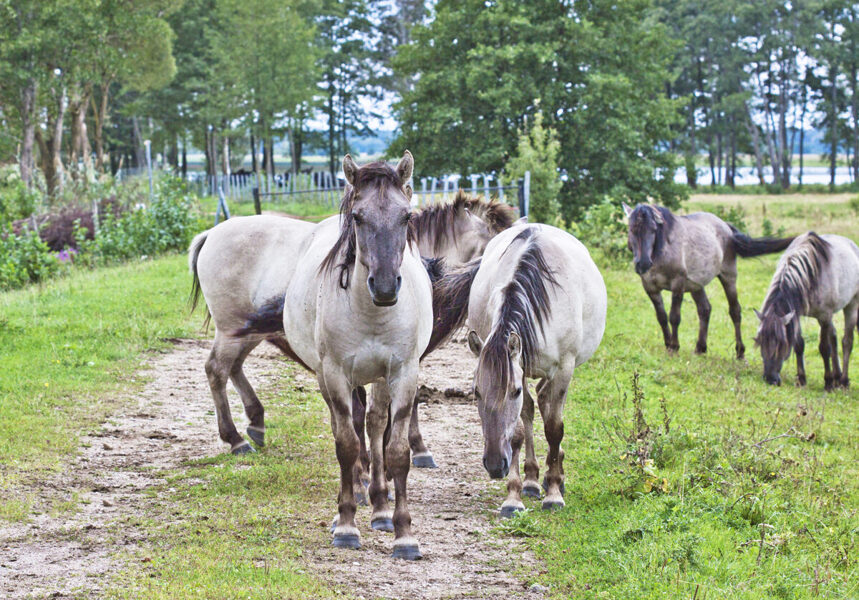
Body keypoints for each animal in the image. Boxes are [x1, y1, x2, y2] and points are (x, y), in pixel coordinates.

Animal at [440, 225, 608, 516]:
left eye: (514, 391)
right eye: (476, 393)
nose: (495, 464)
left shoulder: (562, 369)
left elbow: (554, 428)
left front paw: (554, 492)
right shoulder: (521, 366)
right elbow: (519, 429)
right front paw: (514, 495)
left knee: (548, 406)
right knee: (534, 406)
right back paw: (532, 480)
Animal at [620, 204, 796, 358]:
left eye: (653, 230)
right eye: (632, 229)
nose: (643, 264)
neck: (661, 253)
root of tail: (726, 227)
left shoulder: (677, 285)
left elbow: (674, 317)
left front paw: (675, 347)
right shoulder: (650, 288)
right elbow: (661, 317)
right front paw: (668, 345)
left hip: (728, 277)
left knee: (735, 311)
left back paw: (740, 352)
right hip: (696, 284)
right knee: (705, 309)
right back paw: (700, 348)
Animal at [752, 230, 859, 390]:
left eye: (782, 344)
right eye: (760, 341)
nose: (770, 379)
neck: (810, 274)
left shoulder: (824, 316)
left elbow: (824, 348)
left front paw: (828, 382)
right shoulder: (797, 313)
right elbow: (799, 345)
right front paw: (801, 379)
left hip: (851, 305)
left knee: (847, 342)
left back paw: (843, 381)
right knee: (834, 337)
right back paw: (837, 376)